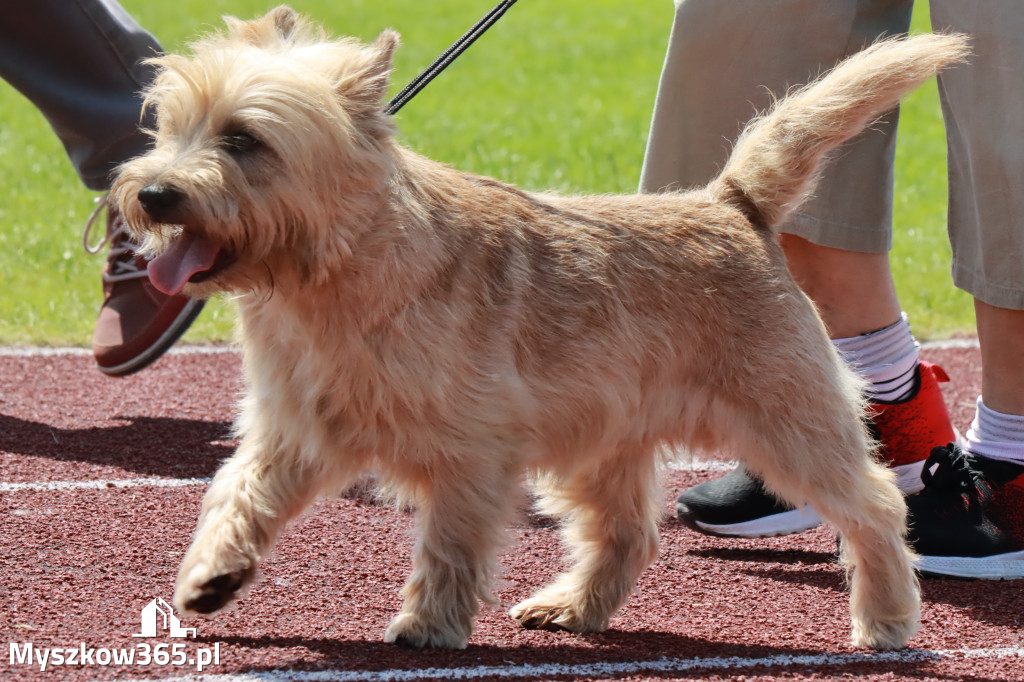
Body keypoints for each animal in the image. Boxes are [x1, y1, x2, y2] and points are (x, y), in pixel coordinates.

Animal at [110, 7, 966, 651]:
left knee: (875, 506)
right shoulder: (296, 426)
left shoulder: (471, 448)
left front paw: (429, 622)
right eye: (170, 129)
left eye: (243, 139)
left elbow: (450, 542)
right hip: (604, 444)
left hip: (788, 421)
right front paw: (212, 575)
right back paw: (571, 607)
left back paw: (887, 620)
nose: (151, 194)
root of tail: (732, 202)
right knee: (627, 533)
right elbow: (238, 493)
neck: (327, 276)